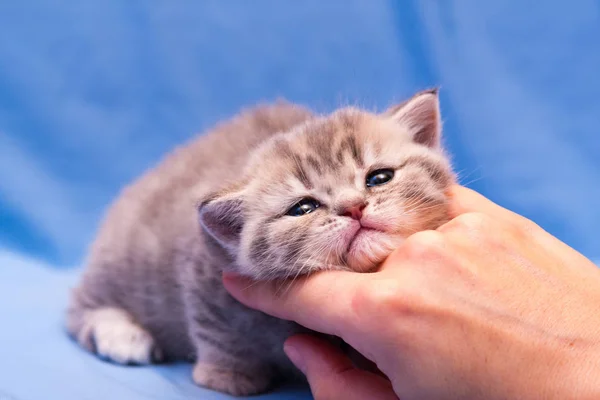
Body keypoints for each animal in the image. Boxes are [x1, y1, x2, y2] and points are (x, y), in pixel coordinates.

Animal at [65, 89, 454, 396]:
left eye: (379, 177)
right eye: (304, 208)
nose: (353, 207)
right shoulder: (207, 274)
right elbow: (217, 332)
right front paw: (227, 374)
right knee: (78, 308)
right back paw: (121, 335)